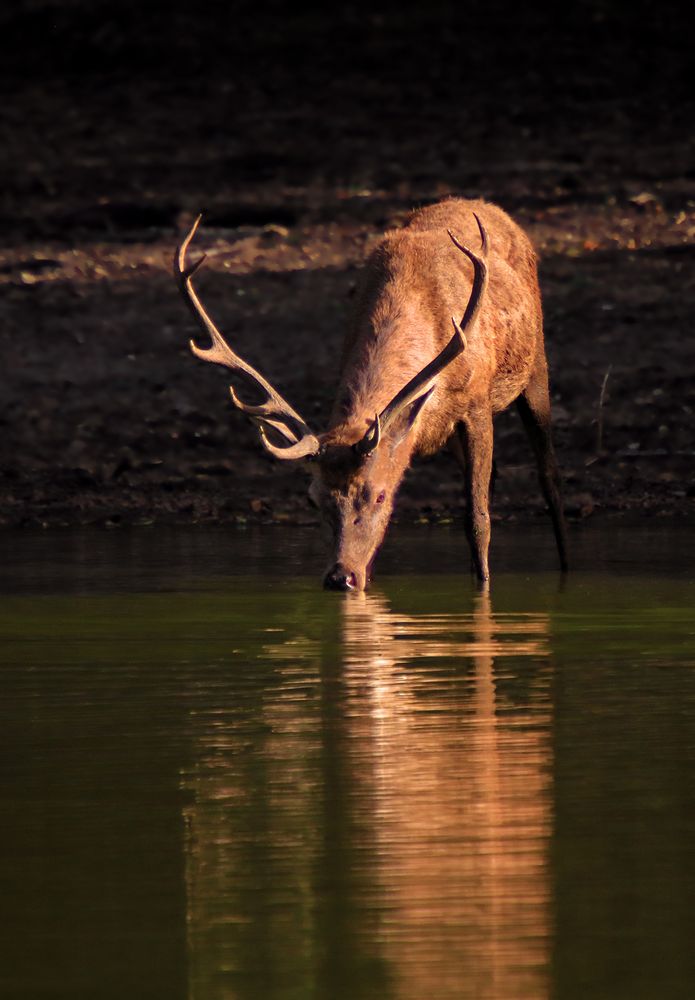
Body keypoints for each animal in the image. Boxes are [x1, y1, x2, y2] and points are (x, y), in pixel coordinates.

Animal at [173, 198, 564, 588]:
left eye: (379, 495)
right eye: (313, 499)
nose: (339, 577)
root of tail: (487, 206)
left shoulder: (475, 405)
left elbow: (478, 521)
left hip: (535, 363)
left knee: (548, 477)